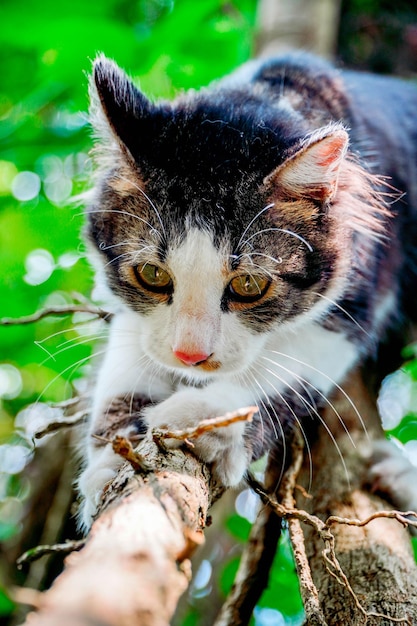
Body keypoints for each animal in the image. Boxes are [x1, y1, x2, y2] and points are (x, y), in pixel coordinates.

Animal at [77, 52, 416, 528]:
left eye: (250, 285)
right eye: (152, 275)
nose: (190, 356)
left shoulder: (362, 290)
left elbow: (277, 372)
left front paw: (207, 416)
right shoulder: (137, 319)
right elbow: (129, 367)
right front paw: (110, 462)